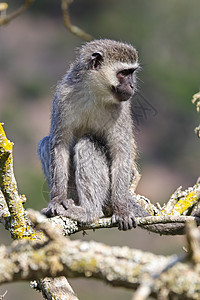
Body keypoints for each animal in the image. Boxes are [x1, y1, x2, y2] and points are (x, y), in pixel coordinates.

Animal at [39, 39, 148, 230]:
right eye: (124, 73)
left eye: (131, 73)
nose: (132, 86)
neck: (95, 93)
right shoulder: (63, 96)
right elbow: (60, 144)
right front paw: (57, 200)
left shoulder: (121, 109)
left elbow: (120, 154)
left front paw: (122, 210)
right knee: (47, 142)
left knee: (87, 143)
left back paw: (90, 212)